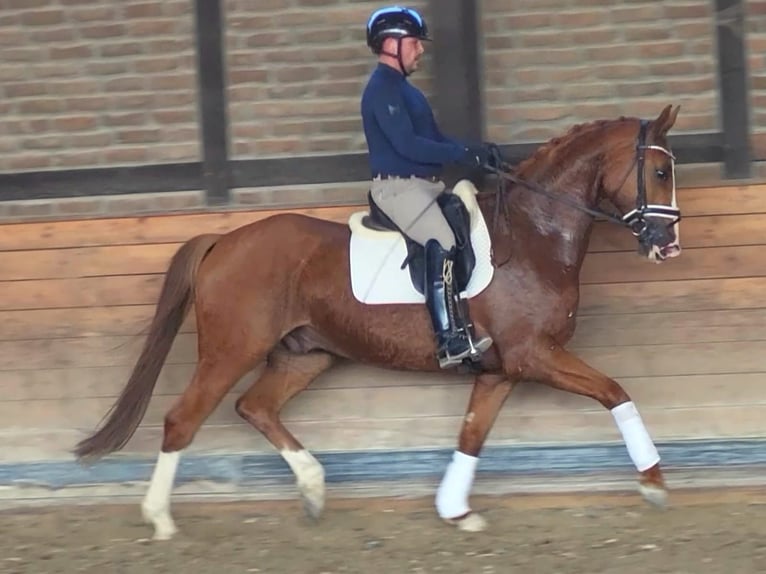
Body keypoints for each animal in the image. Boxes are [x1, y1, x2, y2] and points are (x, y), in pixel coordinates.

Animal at [73, 106, 684, 544]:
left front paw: (455, 511)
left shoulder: (499, 369)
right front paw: (653, 483)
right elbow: (615, 391)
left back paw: (314, 490)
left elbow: (471, 435)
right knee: (184, 419)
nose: (669, 244)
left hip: (305, 354)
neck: (532, 235)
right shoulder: (534, 354)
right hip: (231, 350)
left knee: (256, 407)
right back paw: (161, 519)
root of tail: (224, 239)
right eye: (659, 170)